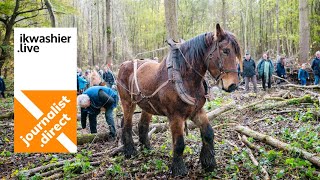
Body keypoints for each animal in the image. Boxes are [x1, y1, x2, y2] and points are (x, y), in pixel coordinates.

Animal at [116, 23, 241, 176]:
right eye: (225, 51)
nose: (233, 85)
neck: (185, 77)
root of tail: (123, 64)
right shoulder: (175, 116)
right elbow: (179, 143)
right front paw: (179, 169)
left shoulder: (196, 111)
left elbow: (208, 133)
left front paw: (208, 163)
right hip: (127, 102)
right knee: (126, 125)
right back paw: (130, 150)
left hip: (147, 105)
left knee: (142, 125)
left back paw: (147, 148)